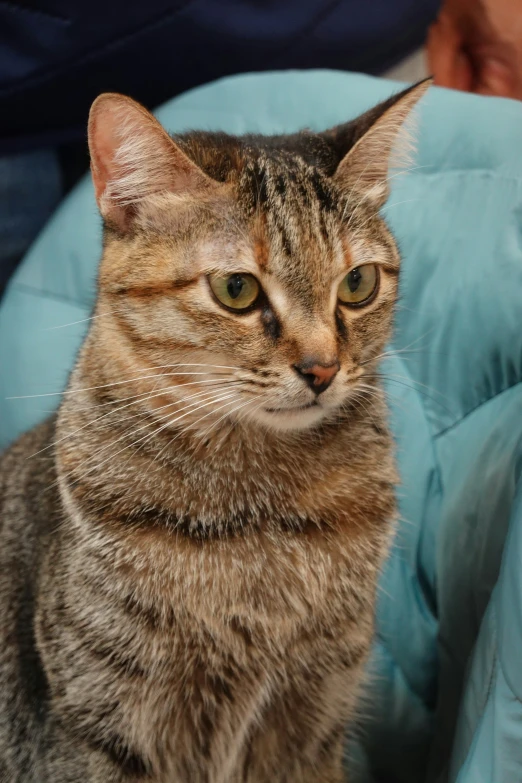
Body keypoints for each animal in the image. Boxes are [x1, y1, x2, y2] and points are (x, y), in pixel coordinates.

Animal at [0, 81, 426, 783]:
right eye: (236, 289)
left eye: (358, 283)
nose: (322, 368)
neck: (258, 514)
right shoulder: (101, 726)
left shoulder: (313, 720)